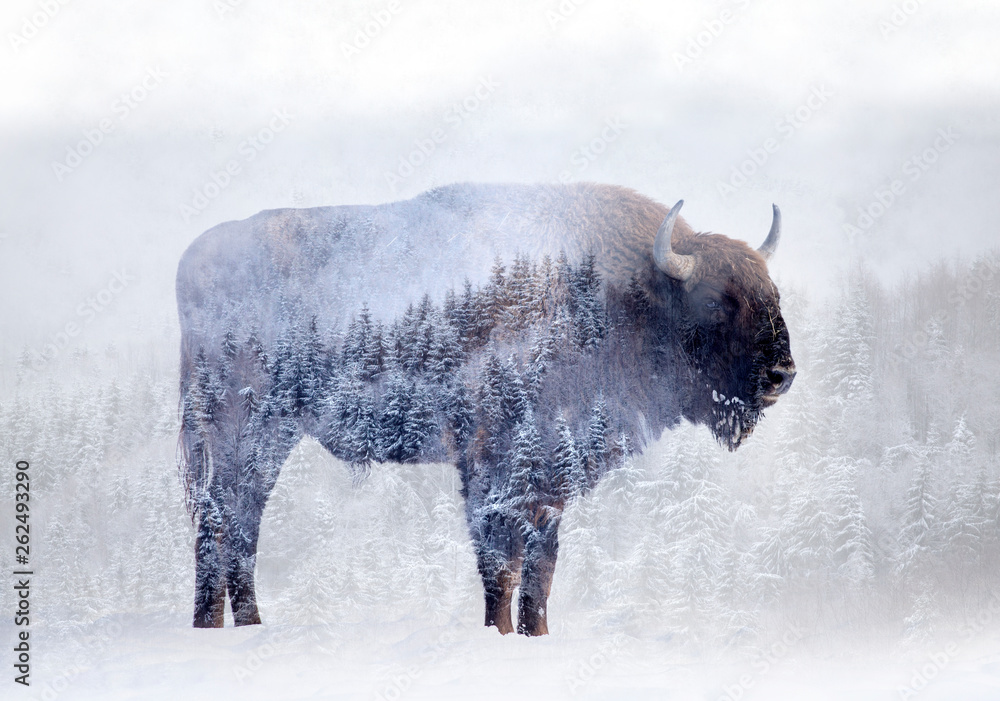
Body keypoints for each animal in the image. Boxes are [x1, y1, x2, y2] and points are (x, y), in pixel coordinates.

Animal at [174, 180, 796, 636]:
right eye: (715, 299)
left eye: (772, 292)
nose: (782, 375)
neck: (619, 293)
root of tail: (193, 258)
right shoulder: (496, 470)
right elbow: (502, 564)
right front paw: (498, 635)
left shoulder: (549, 482)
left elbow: (540, 569)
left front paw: (534, 635)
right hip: (236, 429)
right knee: (219, 518)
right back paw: (214, 627)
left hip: (269, 437)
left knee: (242, 521)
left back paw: (245, 625)